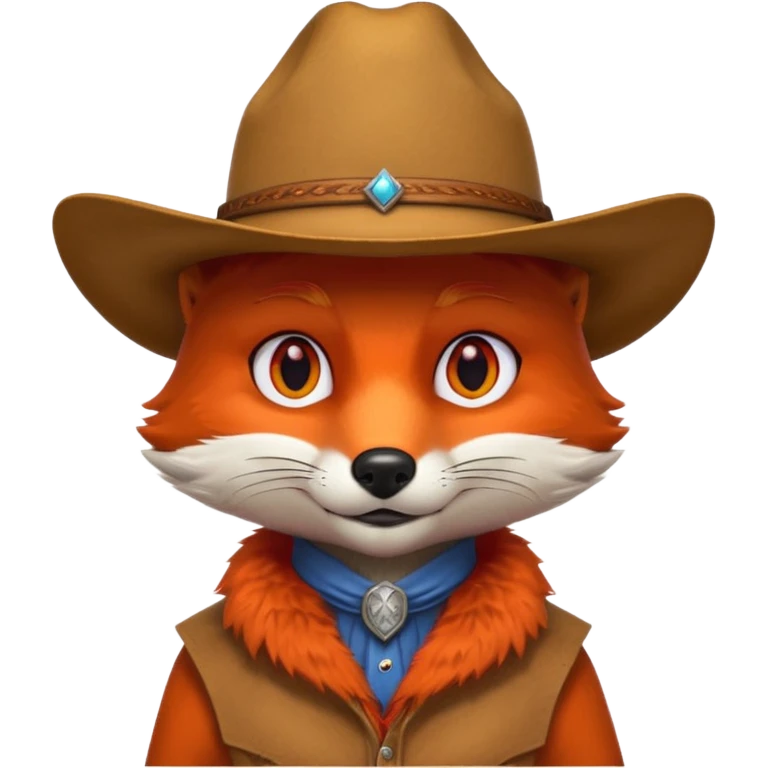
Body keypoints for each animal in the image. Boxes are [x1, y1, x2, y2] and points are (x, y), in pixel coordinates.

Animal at [140, 250, 628, 766]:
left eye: (473, 368)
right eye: (293, 368)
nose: (384, 467)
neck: (383, 581)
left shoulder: (577, 676)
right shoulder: (188, 677)